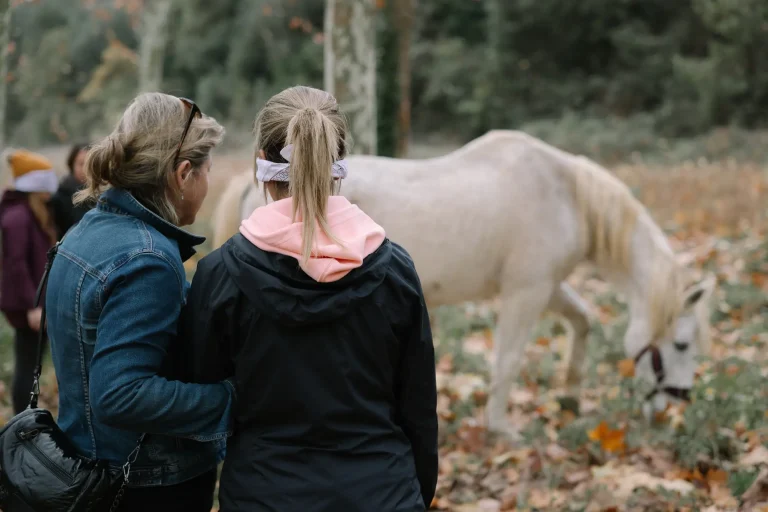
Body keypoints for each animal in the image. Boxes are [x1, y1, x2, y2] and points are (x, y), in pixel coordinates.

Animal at [210, 131, 712, 436]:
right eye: (682, 345)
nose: (673, 408)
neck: (566, 195)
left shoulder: (547, 287)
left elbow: (584, 320)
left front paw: (569, 397)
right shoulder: (526, 293)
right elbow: (508, 360)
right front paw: (501, 428)